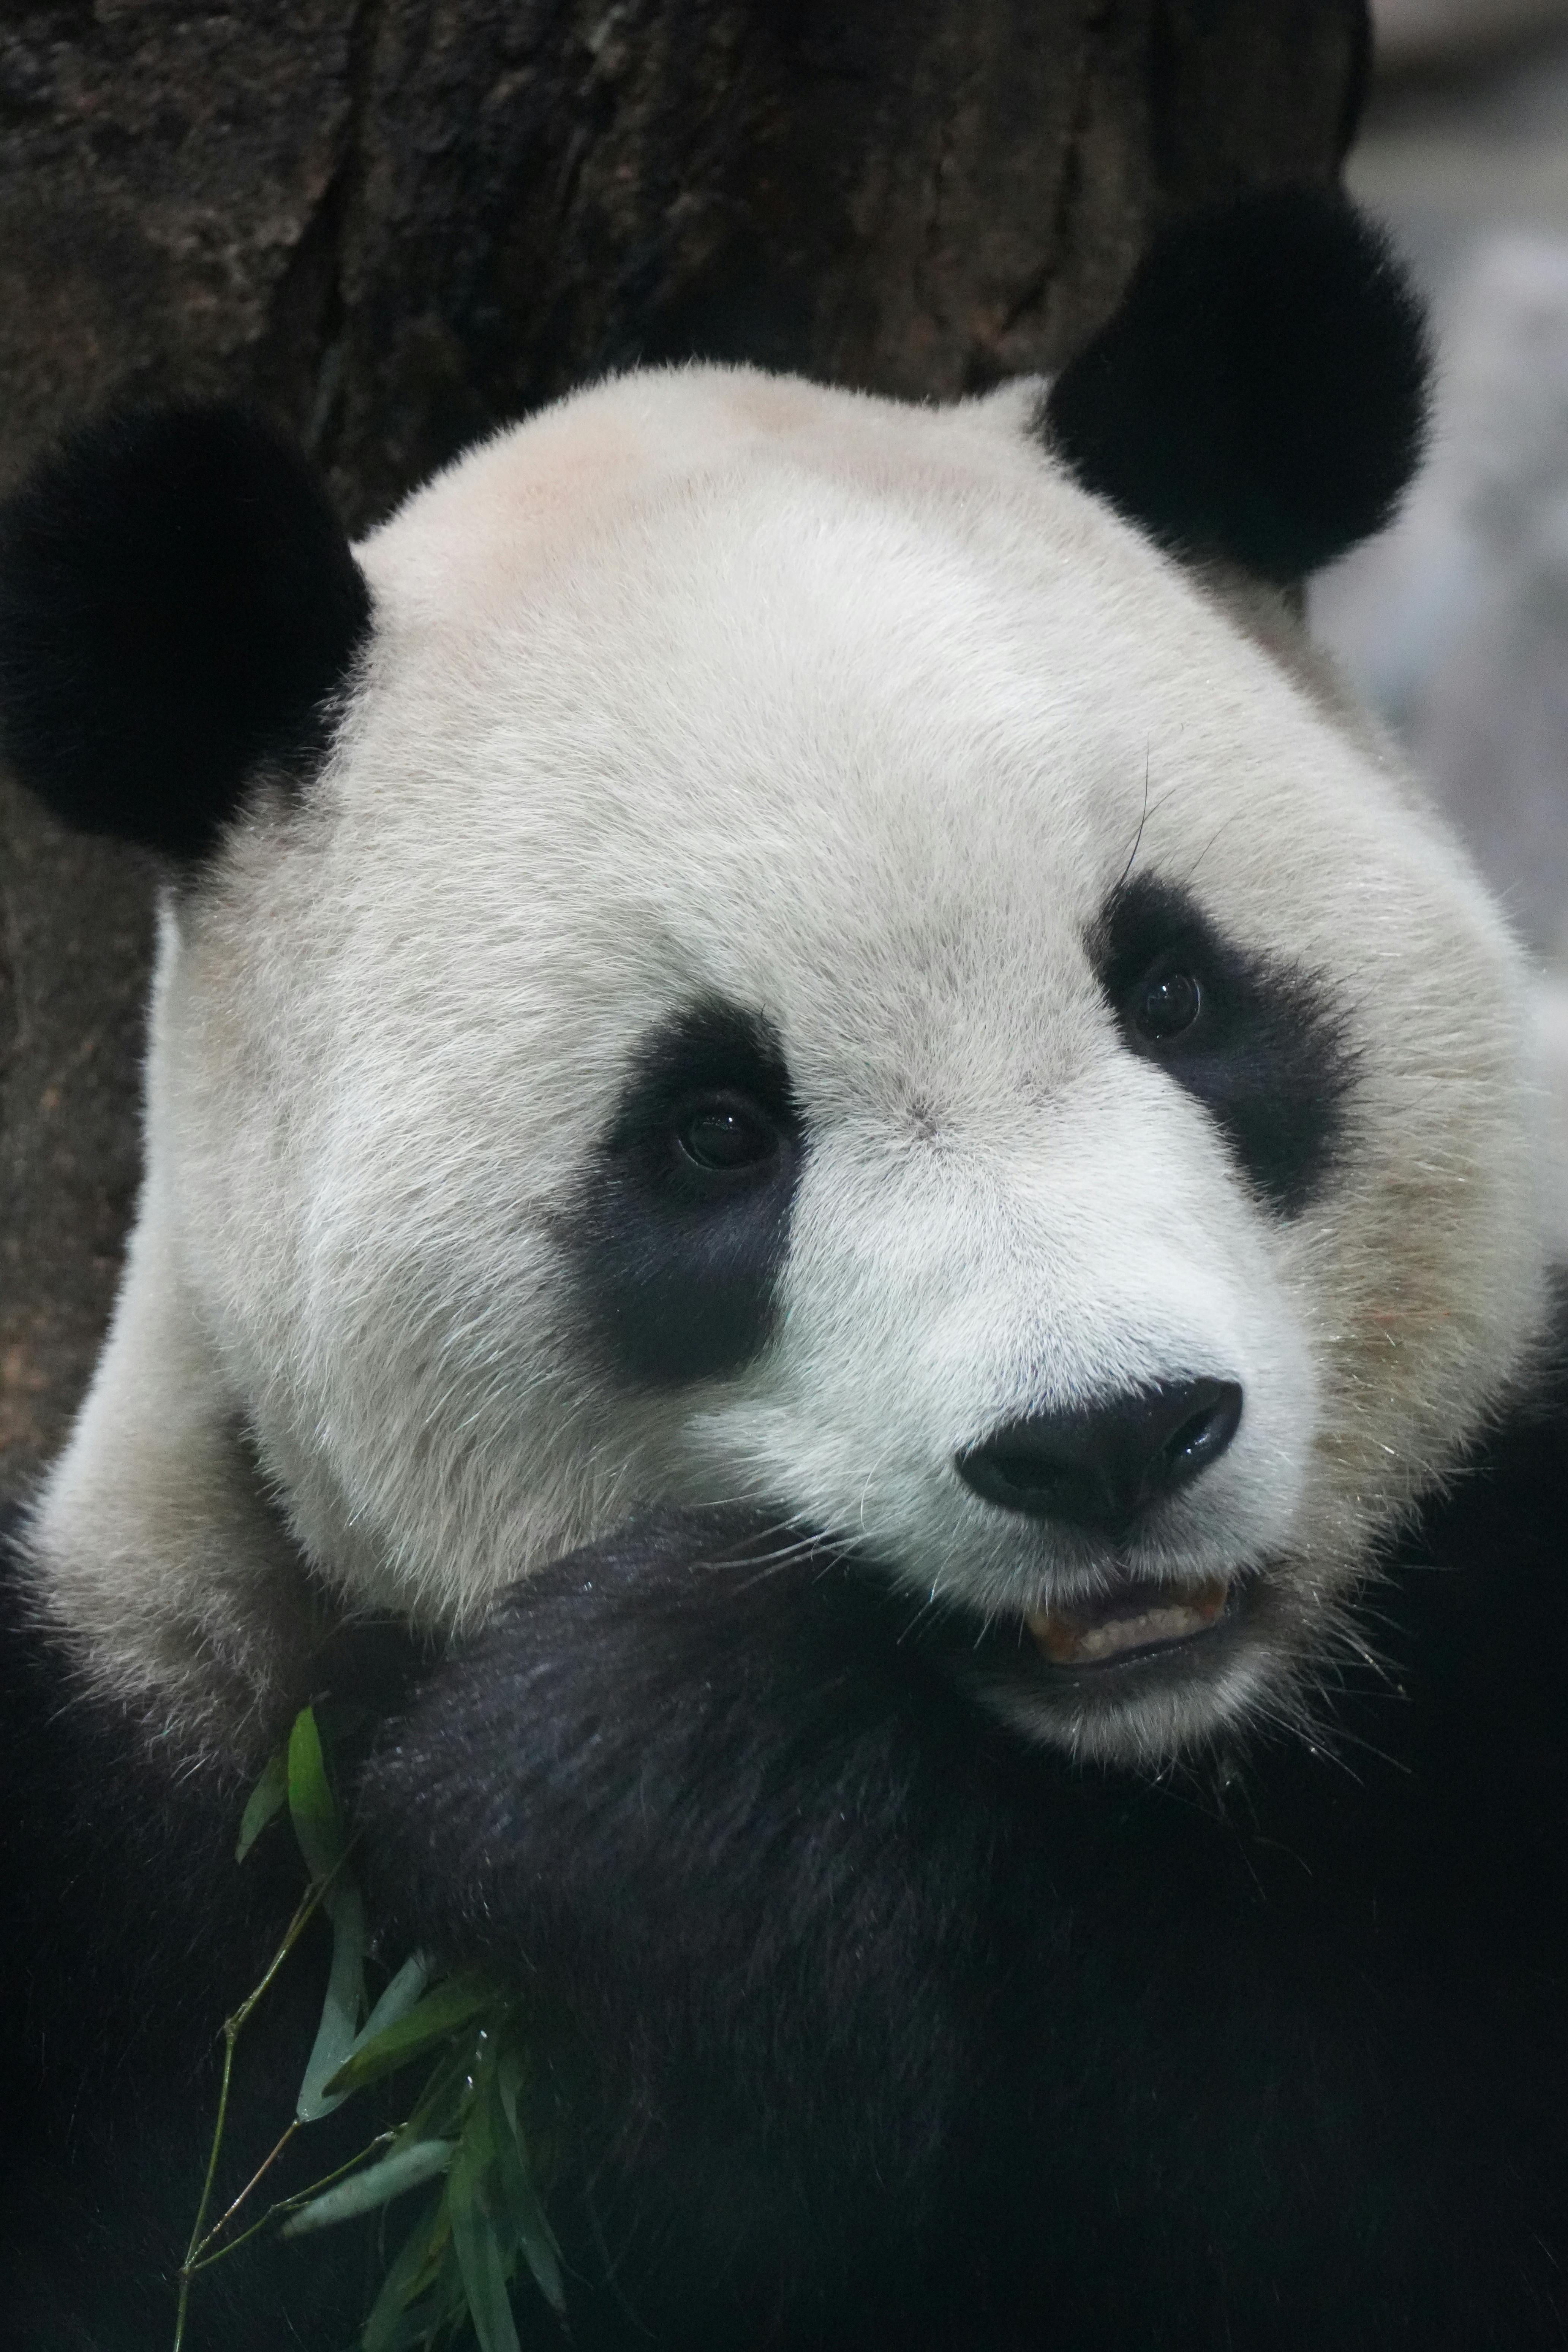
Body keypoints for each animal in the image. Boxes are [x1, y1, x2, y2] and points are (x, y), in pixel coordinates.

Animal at [3, 188, 1568, 2352]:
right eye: (717, 1131)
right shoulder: (151, 1826)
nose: (1108, 1439)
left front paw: (659, 1783)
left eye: (1174, 992)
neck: (1112, 1770)